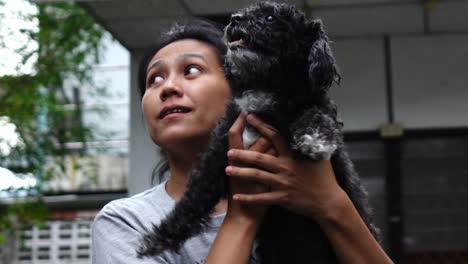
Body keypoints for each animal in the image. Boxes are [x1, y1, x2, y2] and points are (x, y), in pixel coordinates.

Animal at [138, 1, 380, 262]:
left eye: (270, 17)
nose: (234, 18)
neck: (265, 87)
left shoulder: (316, 109)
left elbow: (315, 114)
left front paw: (315, 139)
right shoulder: (218, 157)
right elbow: (193, 199)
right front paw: (157, 238)